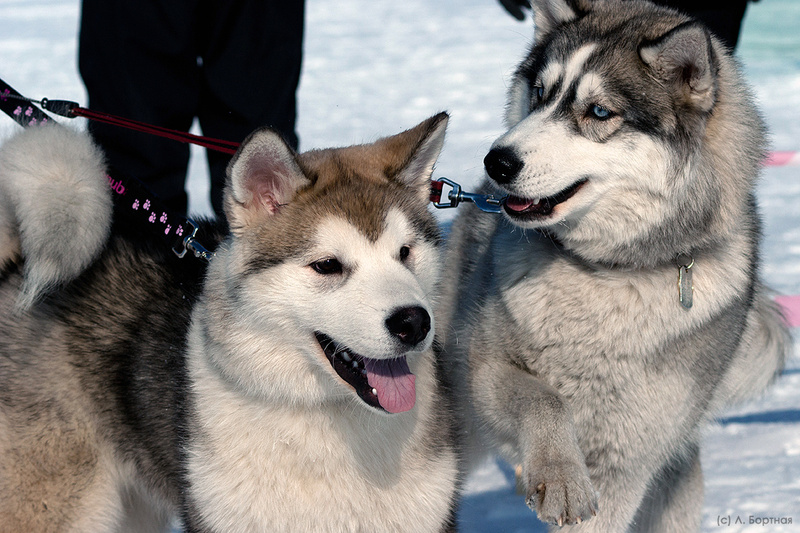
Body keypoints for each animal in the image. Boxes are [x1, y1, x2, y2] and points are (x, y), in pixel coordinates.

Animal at [436, 0, 790, 530]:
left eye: (599, 112)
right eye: (540, 94)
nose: (496, 161)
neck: (609, 272)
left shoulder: (628, 460)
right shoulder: (485, 371)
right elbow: (543, 398)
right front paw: (561, 474)